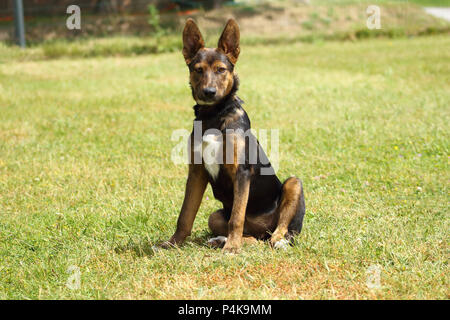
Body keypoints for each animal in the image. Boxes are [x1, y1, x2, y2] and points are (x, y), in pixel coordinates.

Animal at [160, 18, 304, 254]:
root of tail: (262, 230)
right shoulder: (196, 172)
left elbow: (236, 216)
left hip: (293, 185)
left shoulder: (241, 171)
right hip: (216, 216)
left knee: (278, 231)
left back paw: (272, 241)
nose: (209, 92)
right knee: (253, 238)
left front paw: (232, 248)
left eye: (221, 69)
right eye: (198, 70)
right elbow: (185, 215)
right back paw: (221, 239)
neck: (214, 115)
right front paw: (173, 243)